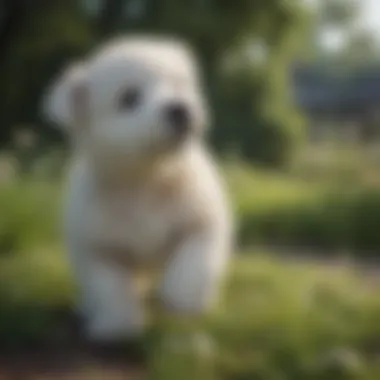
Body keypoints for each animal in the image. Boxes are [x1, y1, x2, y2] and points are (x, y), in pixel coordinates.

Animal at [41, 36, 232, 342]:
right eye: (129, 98)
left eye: (178, 85)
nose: (180, 109)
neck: (147, 179)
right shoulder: (99, 247)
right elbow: (110, 287)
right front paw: (116, 326)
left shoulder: (201, 218)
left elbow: (195, 259)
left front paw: (183, 298)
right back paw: (88, 308)